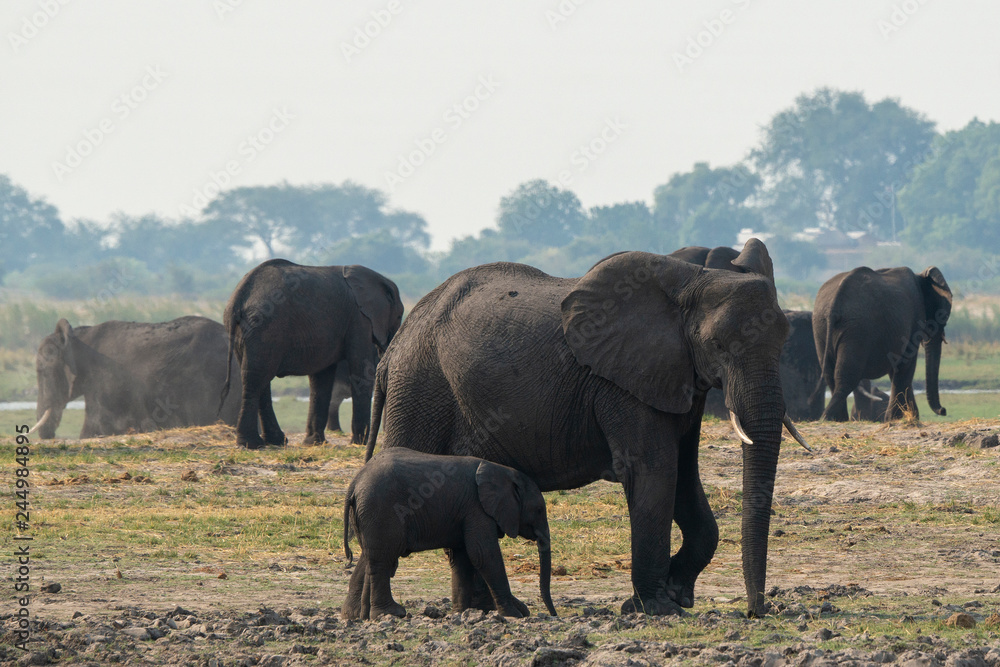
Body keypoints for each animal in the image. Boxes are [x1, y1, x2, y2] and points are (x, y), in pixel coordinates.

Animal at [222, 258, 402, 452]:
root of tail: (238, 298)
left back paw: (274, 441)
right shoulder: (359, 318)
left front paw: (314, 442)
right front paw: (359, 443)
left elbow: (321, 379)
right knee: (256, 379)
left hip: (249, 332)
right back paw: (252, 444)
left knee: (258, 379)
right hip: (264, 327)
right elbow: (360, 370)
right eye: (400, 316)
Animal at [342, 448, 560, 620]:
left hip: (368, 514)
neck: (503, 471)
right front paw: (514, 615)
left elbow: (462, 557)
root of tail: (355, 482)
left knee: (372, 557)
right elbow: (483, 554)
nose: (554, 614)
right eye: (539, 510)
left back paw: (363, 617)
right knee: (383, 558)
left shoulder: (464, 512)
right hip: (382, 510)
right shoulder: (476, 509)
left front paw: (462, 613)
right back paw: (392, 614)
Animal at [368, 241, 812, 620]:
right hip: (421, 389)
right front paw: (656, 608)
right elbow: (655, 470)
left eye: (784, 340)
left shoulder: (678, 375)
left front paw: (674, 595)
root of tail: (391, 351)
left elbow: (684, 474)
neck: (691, 281)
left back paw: (473, 610)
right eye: (718, 345)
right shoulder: (621, 382)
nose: (756, 611)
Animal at [812, 264, 952, 420]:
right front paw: (895, 419)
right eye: (944, 314)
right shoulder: (914, 318)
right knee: (846, 377)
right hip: (857, 329)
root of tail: (835, 303)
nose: (943, 410)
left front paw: (906, 417)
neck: (920, 277)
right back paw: (827, 418)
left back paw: (837, 419)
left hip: (821, 325)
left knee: (830, 375)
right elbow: (906, 364)